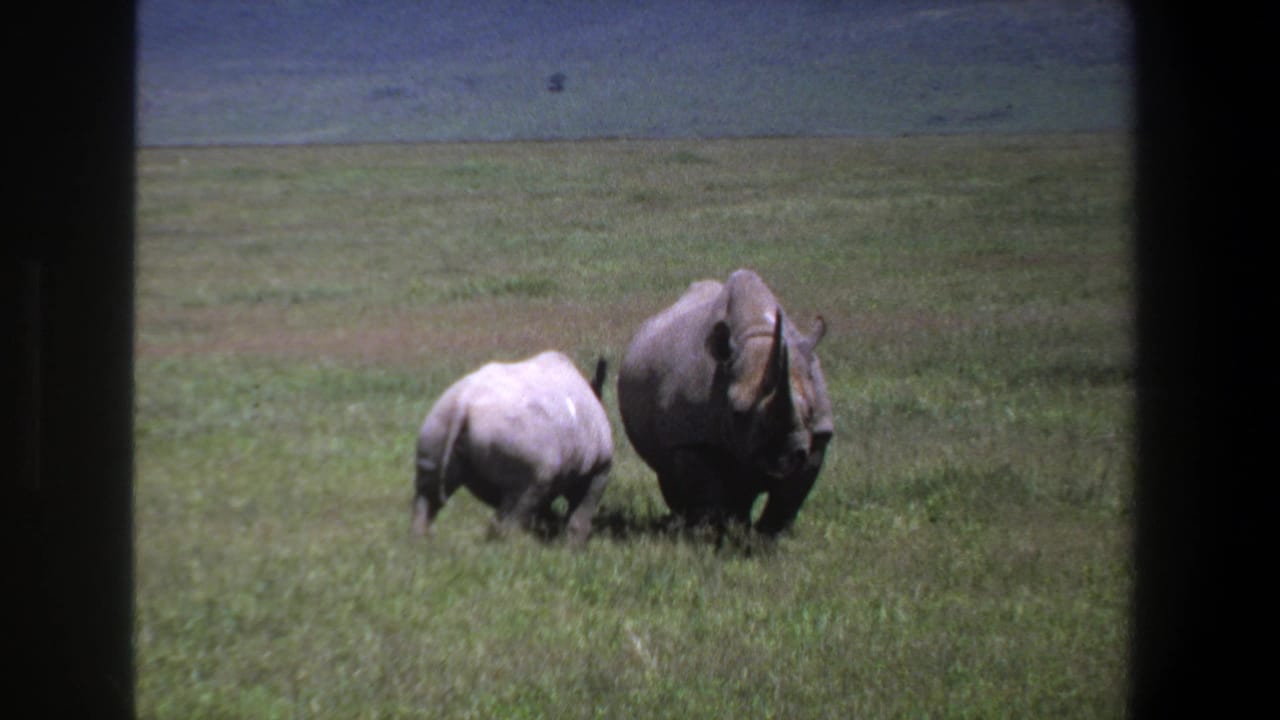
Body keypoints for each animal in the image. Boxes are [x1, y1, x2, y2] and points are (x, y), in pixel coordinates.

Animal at [412, 351, 613, 544]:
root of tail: (463, 402)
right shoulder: (601, 467)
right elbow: (582, 509)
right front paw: (572, 547)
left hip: (439, 419)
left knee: (428, 492)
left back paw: (420, 542)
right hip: (518, 434)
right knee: (523, 498)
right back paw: (514, 550)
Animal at [617, 269, 833, 535]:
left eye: (811, 411)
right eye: (736, 413)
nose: (783, 460)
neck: (759, 334)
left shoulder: (818, 436)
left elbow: (788, 498)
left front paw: (767, 537)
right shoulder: (691, 438)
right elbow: (707, 492)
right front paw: (711, 534)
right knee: (669, 472)